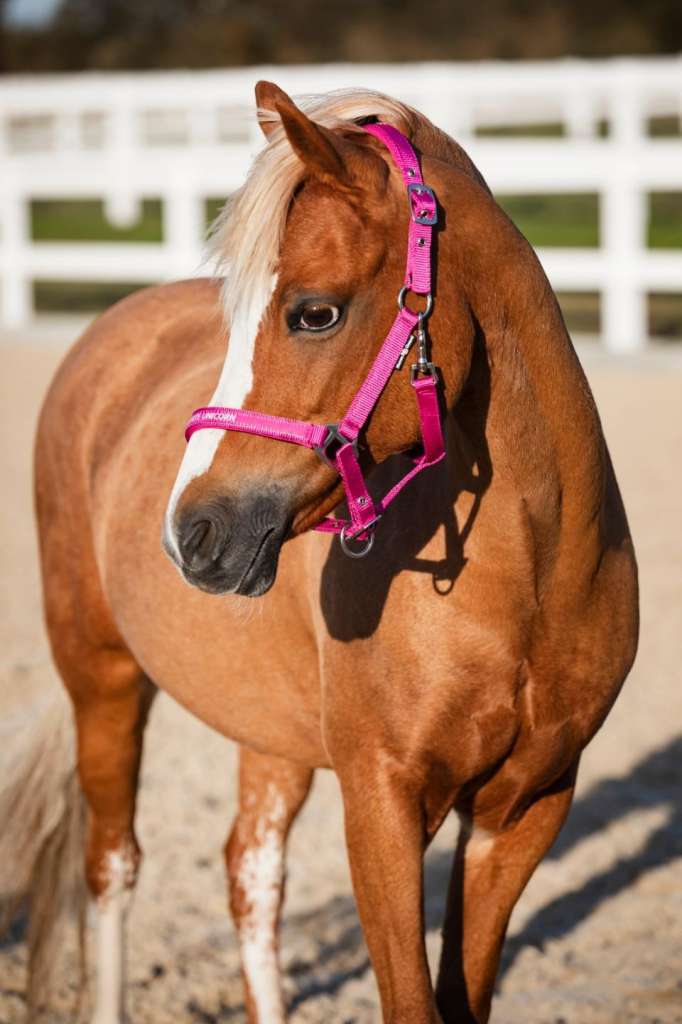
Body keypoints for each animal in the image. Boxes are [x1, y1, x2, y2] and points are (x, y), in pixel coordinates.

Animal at [13, 79, 638, 1023]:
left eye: (315, 312)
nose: (191, 532)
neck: (534, 574)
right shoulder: (381, 802)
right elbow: (411, 1002)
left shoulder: (525, 809)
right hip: (104, 680)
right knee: (113, 868)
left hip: (265, 727)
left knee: (250, 874)